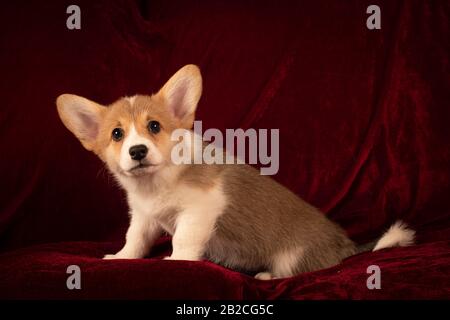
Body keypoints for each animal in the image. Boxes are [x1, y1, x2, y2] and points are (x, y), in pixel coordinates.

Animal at [56, 65, 414, 280]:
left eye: (154, 126)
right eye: (117, 134)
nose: (138, 151)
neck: (156, 182)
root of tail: (346, 247)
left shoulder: (200, 210)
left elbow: (183, 240)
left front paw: (175, 262)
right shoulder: (144, 218)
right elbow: (135, 240)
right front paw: (122, 257)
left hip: (291, 257)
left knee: (295, 270)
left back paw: (267, 276)